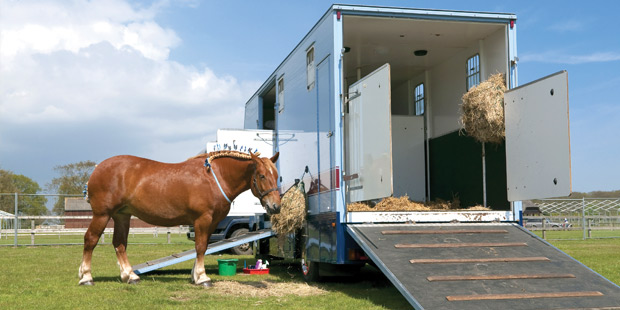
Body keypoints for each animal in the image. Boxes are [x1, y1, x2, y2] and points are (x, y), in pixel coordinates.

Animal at [79, 150, 280, 286]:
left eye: (276, 176)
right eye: (262, 175)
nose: (276, 206)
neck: (215, 178)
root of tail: (97, 169)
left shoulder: (211, 222)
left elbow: (203, 247)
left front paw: (195, 275)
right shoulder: (203, 219)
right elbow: (200, 247)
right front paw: (202, 278)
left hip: (122, 216)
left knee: (120, 244)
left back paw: (130, 276)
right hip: (102, 215)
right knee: (90, 239)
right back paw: (86, 277)